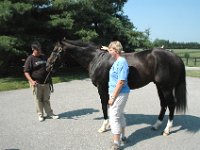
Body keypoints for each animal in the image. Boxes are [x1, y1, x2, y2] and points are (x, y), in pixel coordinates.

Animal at [46, 39, 187, 135]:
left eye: (56, 50)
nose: (47, 65)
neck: (95, 58)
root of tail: (176, 57)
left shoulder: (101, 87)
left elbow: (104, 105)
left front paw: (104, 126)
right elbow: (109, 104)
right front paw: (109, 124)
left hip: (166, 87)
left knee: (171, 105)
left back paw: (167, 130)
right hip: (159, 86)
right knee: (163, 104)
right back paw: (156, 125)